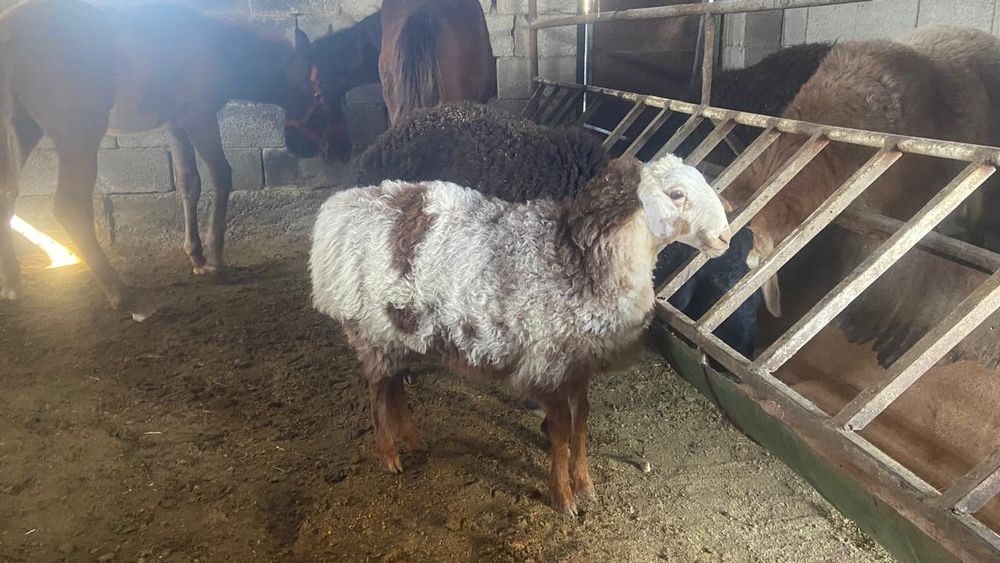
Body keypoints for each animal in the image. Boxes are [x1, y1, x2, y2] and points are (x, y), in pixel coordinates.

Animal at [310, 155, 730, 515]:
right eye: (676, 194)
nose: (725, 237)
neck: (582, 263)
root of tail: (338, 210)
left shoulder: (578, 365)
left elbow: (582, 425)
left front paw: (585, 484)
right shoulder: (548, 363)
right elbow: (560, 432)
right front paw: (563, 498)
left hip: (396, 330)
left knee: (394, 386)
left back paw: (414, 441)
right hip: (371, 329)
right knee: (377, 392)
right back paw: (389, 456)